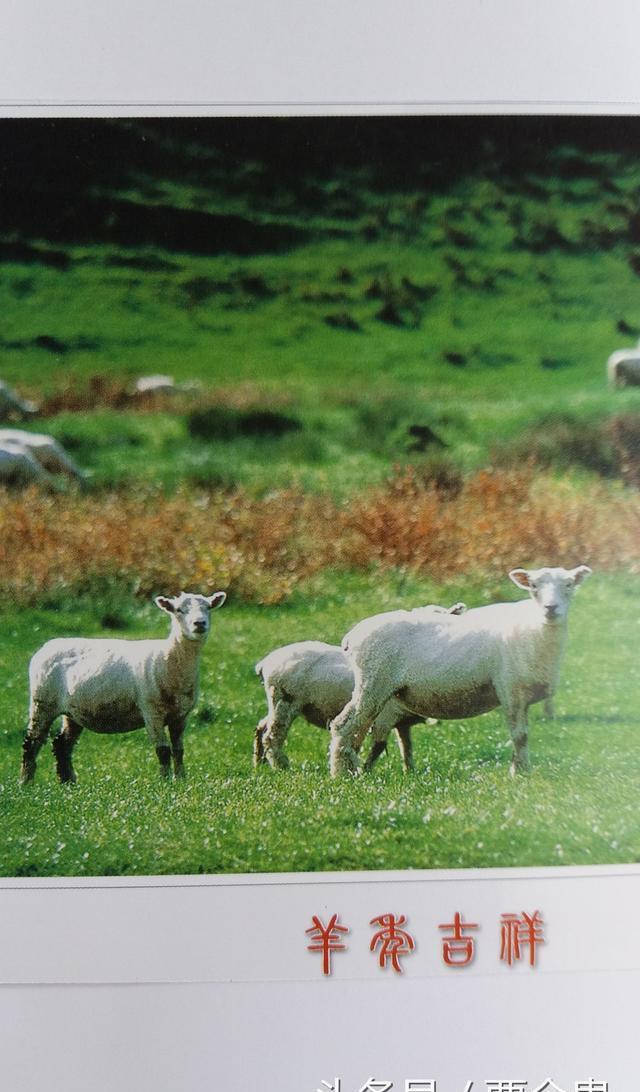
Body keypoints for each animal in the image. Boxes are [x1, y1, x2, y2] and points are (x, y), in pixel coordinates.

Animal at [20, 589, 223, 786]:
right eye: (179, 610)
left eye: (208, 608)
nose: (200, 623)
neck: (170, 658)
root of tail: (46, 647)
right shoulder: (151, 711)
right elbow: (163, 750)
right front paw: (165, 784)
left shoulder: (181, 715)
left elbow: (179, 750)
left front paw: (180, 779)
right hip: (42, 702)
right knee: (32, 742)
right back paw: (26, 782)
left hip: (72, 712)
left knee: (62, 745)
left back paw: (68, 782)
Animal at [251, 602, 465, 773]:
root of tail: (264, 663)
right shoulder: (386, 717)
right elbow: (379, 746)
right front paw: (367, 770)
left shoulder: (402, 723)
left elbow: (407, 748)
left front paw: (409, 771)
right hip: (285, 701)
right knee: (273, 735)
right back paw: (282, 766)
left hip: (278, 703)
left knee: (261, 726)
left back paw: (259, 762)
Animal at [329, 563, 589, 777]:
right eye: (534, 586)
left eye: (569, 585)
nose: (551, 608)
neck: (535, 630)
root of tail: (352, 637)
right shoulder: (510, 688)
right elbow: (520, 735)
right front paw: (521, 774)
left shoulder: (522, 694)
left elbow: (523, 734)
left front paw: (520, 768)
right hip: (373, 681)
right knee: (345, 725)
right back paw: (341, 774)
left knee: (359, 728)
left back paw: (353, 770)